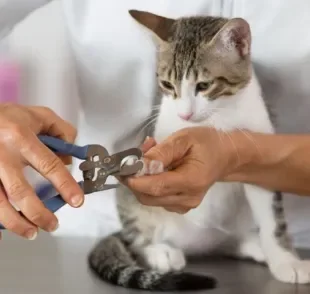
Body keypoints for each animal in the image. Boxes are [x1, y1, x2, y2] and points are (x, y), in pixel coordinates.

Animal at [87, 9, 310, 292]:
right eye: (167, 85)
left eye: (204, 85)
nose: (185, 114)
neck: (216, 118)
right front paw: (152, 164)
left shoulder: (260, 148)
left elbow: (272, 218)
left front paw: (284, 260)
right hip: (133, 207)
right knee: (135, 234)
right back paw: (159, 250)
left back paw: (253, 245)